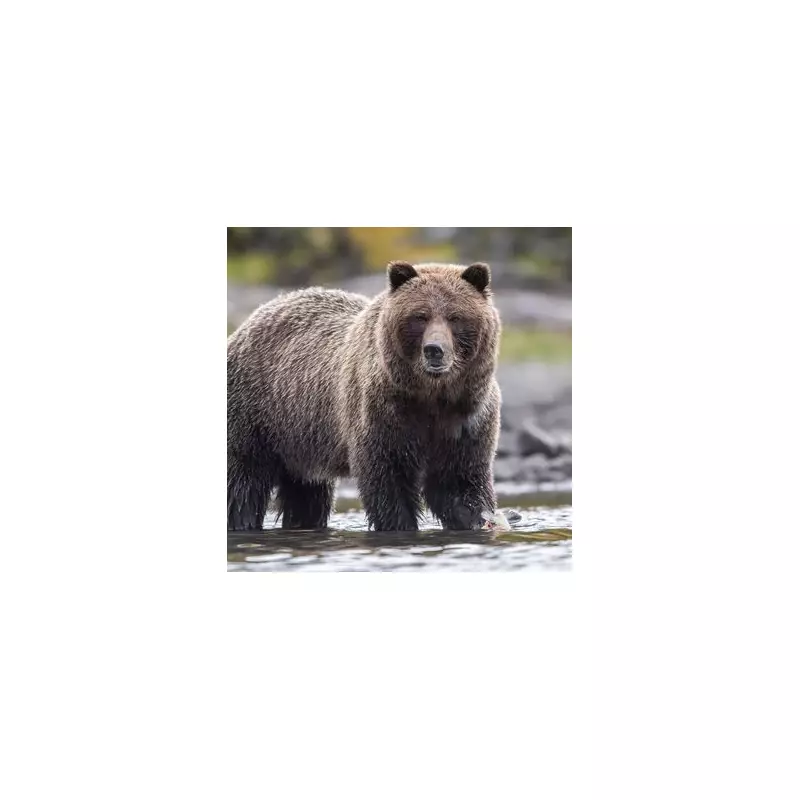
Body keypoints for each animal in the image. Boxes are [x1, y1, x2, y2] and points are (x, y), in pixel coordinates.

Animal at [227, 261, 501, 532]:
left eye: (455, 317)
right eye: (420, 316)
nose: (434, 350)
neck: (430, 397)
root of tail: (252, 318)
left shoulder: (465, 421)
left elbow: (459, 482)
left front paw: (479, 519)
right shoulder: (381, 413)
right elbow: (387, 481)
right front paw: (400, 524)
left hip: (301, 440)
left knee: (307, 494)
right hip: (255, 413)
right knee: (243, 483)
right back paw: (242, 522)